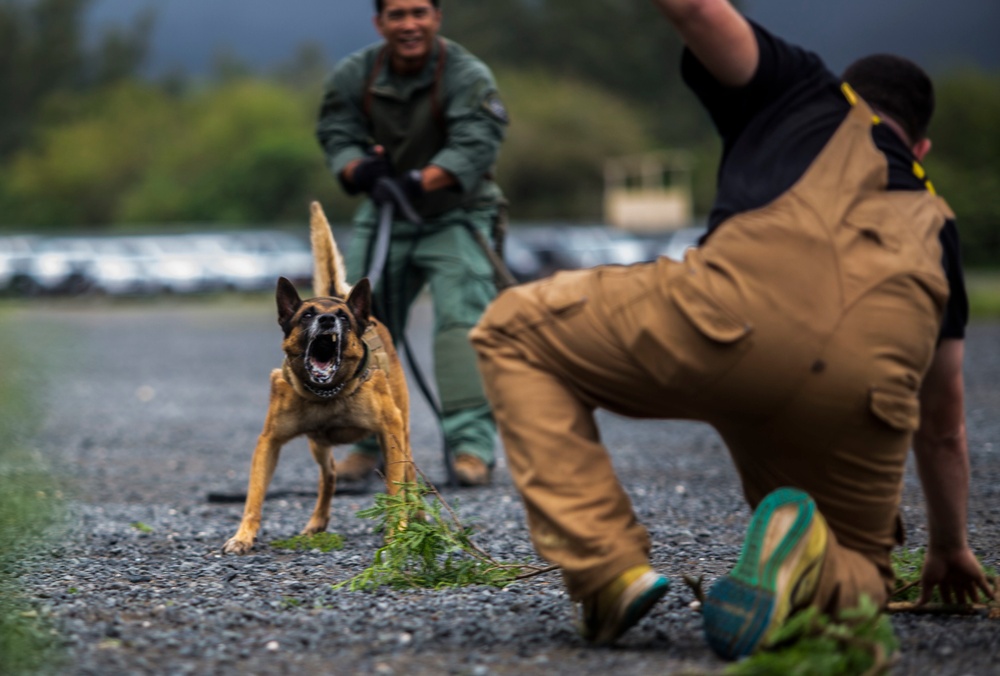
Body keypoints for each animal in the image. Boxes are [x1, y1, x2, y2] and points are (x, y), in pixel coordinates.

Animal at [224, 201, 414, 556]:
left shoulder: (391, 429)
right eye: (307, 315)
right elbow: (254, 496)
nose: (327, 319)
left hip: (401, 433)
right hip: (318, 446)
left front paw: (399, 532)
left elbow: (397, 489)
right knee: (330, 476)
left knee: (410, 479)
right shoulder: (268, 442)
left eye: (343, 318)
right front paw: (243, 536)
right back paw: (317, 522)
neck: (328, 394)